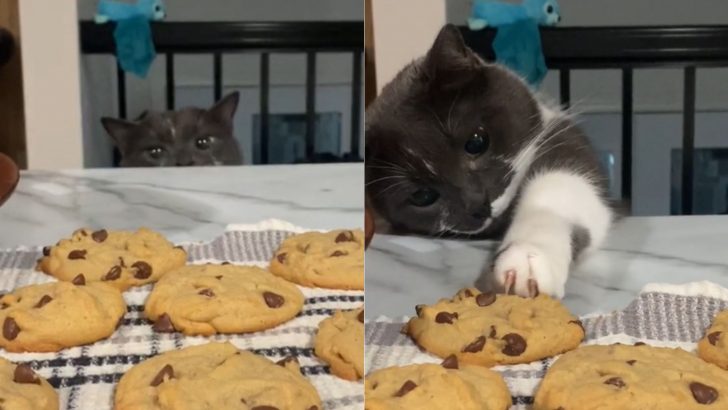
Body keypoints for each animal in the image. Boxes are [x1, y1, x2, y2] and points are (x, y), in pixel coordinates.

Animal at [366, 25, 616, 300]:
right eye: (421, 196)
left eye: (477, 142)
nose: (478, 205)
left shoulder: (562, 138)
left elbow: (561, 190)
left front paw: (527, 258)